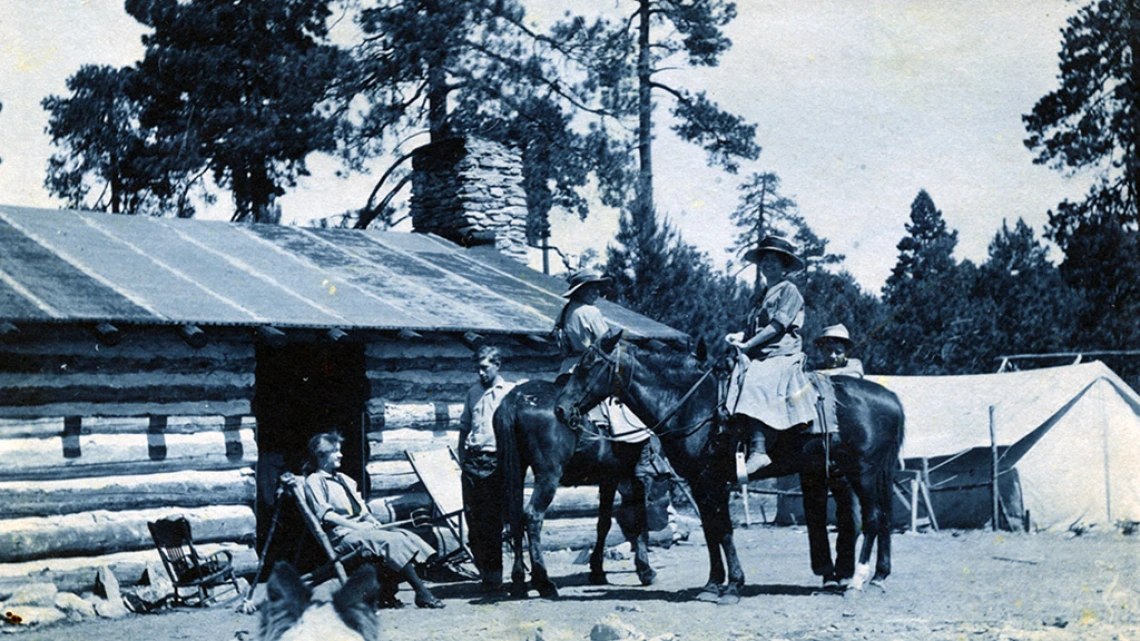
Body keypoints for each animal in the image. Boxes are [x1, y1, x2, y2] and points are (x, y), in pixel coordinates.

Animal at [492, 376, 661, 597]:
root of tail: (517, 398)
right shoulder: (635, 479)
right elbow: (638, 520)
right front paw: (645, 570)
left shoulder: (609, 478)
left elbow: (603, 523)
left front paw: (597, 570)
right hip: (548, 475)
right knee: (533, 517)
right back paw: (543, 581)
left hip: (517, 471)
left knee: (515, 518)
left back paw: (519, 581)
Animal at [554, 328, 907, 602]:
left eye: (589, 364)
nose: (560, 409)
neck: (694, 405)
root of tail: (890, 397)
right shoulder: (699, 483)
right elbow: (712, 530)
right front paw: (713, 584)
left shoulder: (711, 480)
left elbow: (723, 530)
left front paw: (733, 585)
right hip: (871, 474)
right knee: (883, 519)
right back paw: (877, 576)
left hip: (863, 473)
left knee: (873, 519)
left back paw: (858, 580)